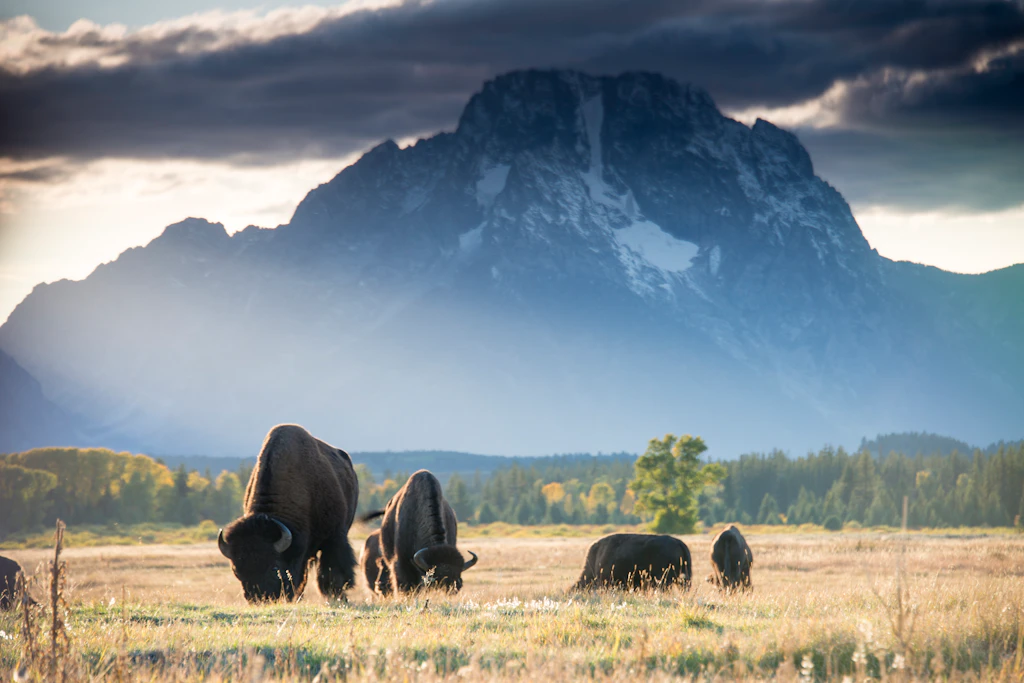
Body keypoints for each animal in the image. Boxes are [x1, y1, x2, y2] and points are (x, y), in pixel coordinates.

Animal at [218, 424, 359, 602]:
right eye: (237, 570)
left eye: (274, 568)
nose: (259, 598)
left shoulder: (334, 538)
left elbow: (333, 569)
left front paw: (336, 595)